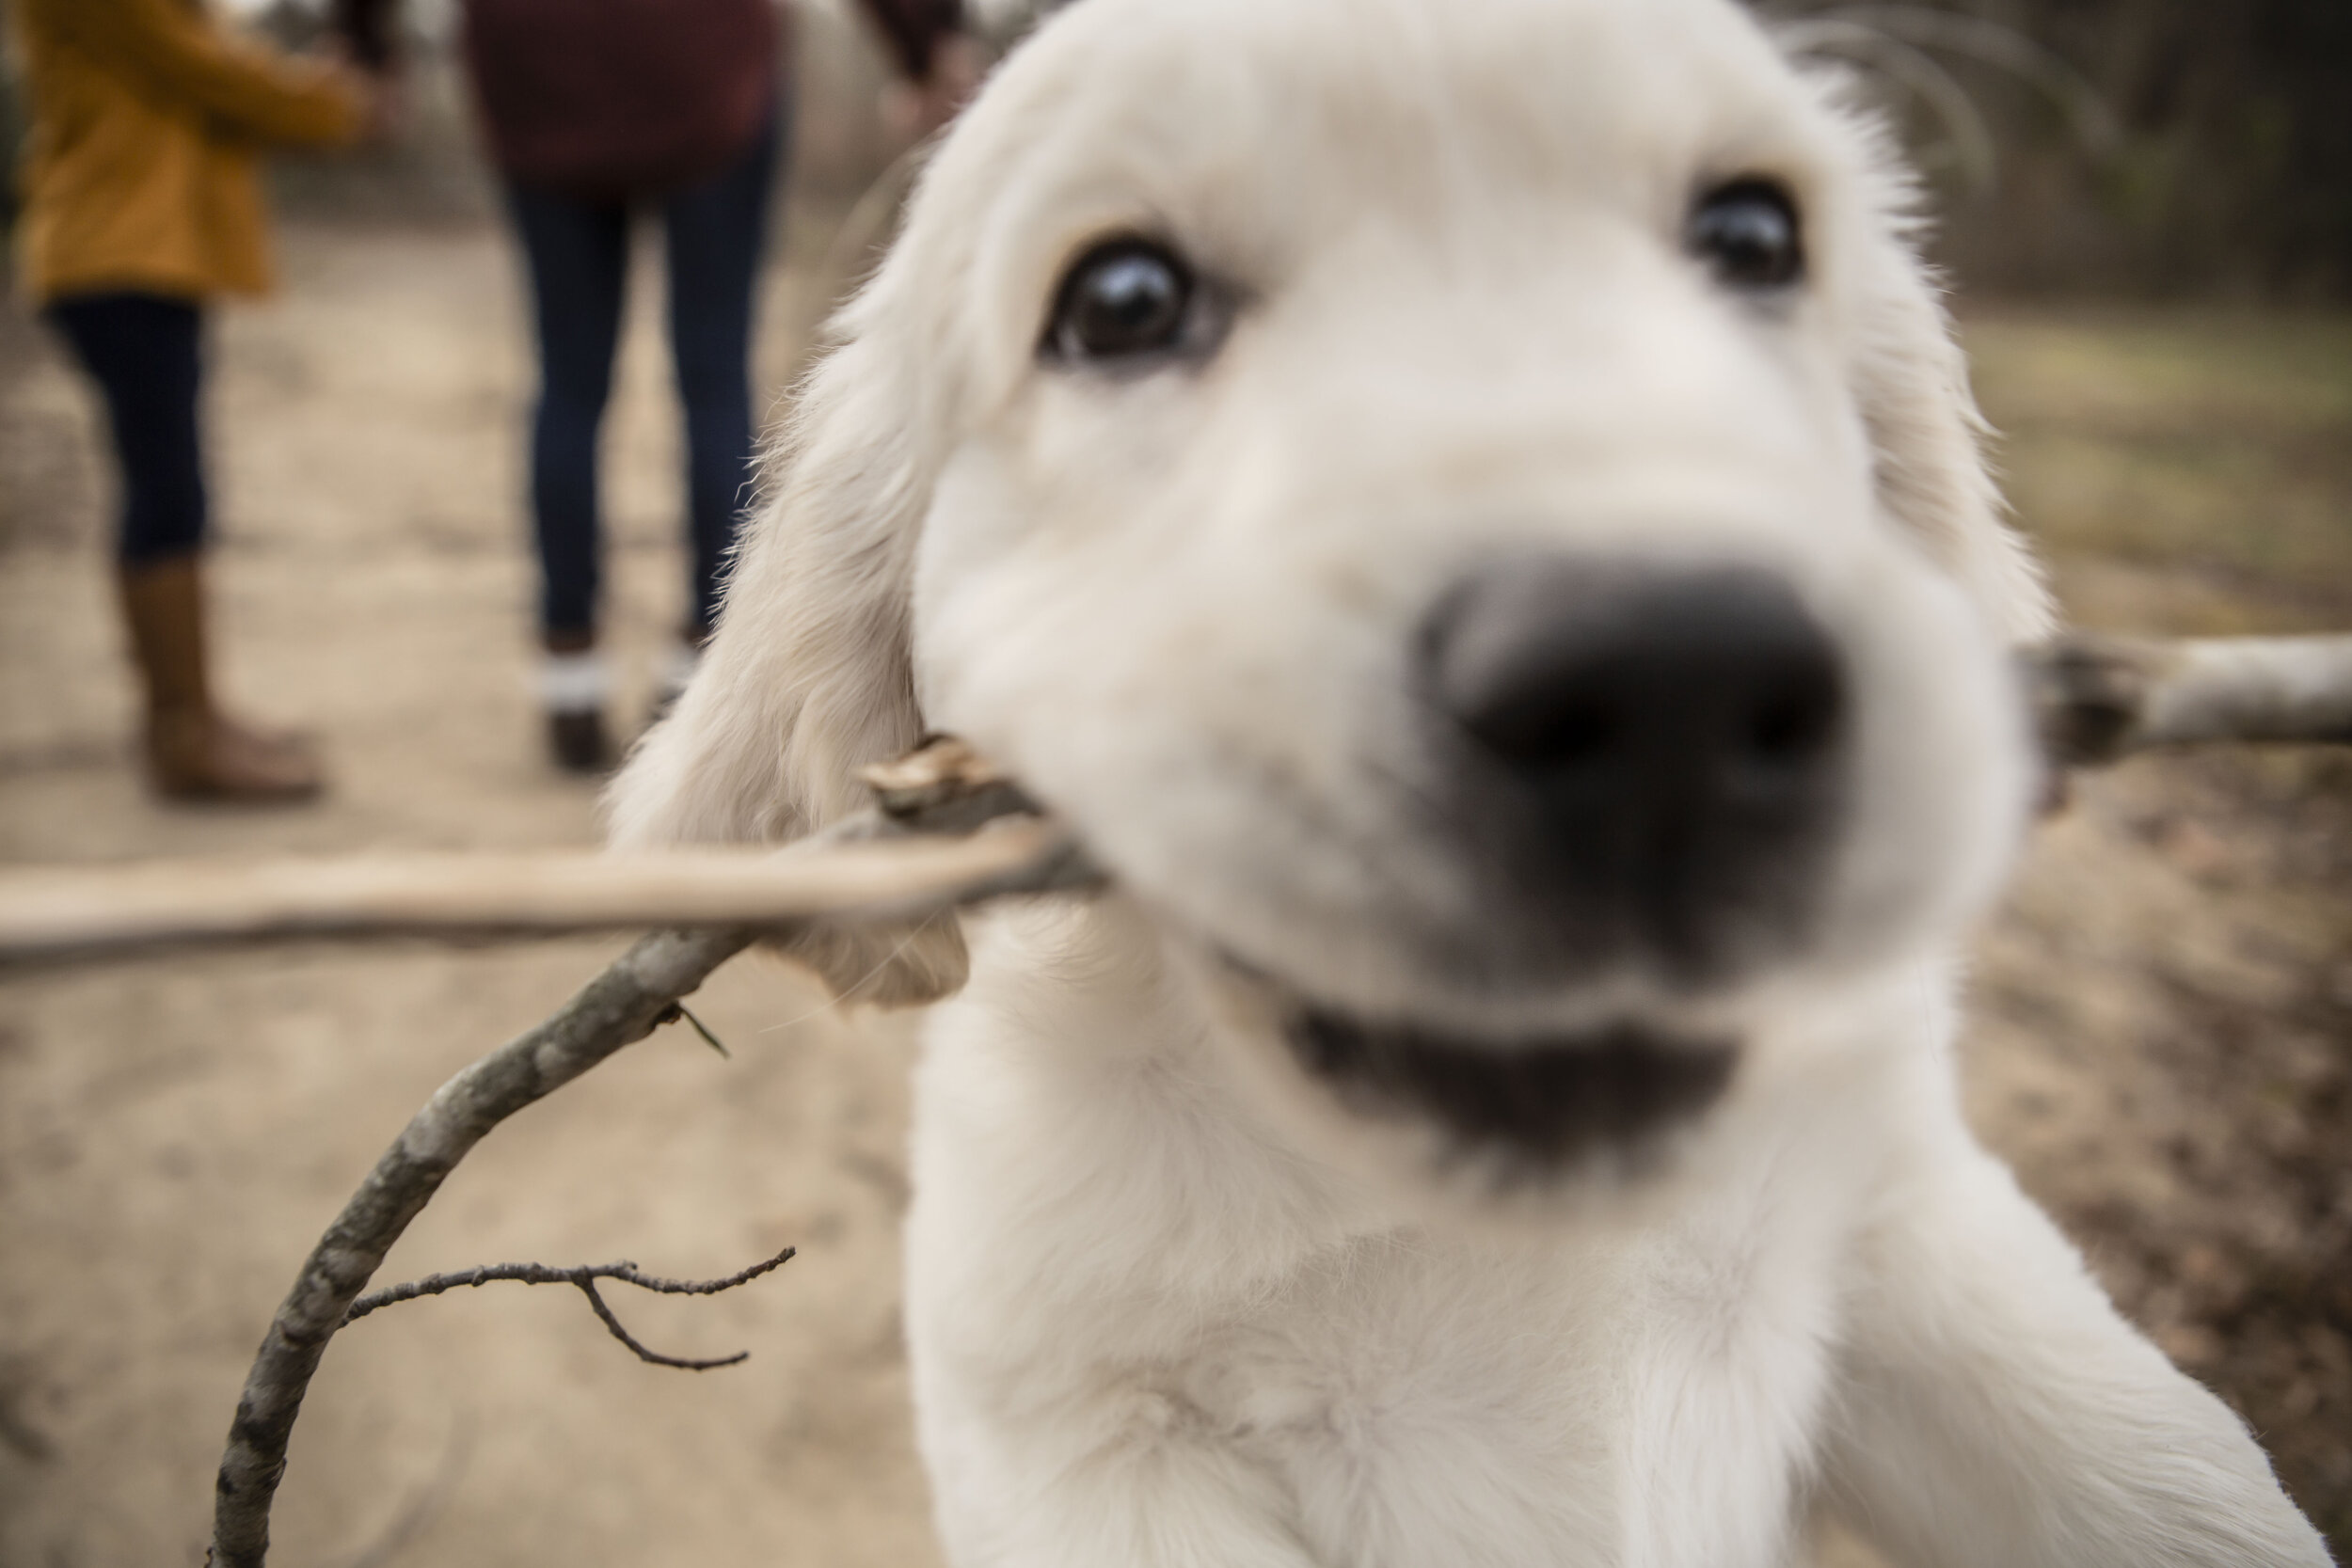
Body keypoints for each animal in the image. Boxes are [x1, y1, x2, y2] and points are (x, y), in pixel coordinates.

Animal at [612, 6, 2333, 1560]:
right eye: (1120, 301)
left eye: (1752, 235)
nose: (1669, 681)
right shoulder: (1076, 1429)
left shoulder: (1911, 1223)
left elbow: (2188, 1483)